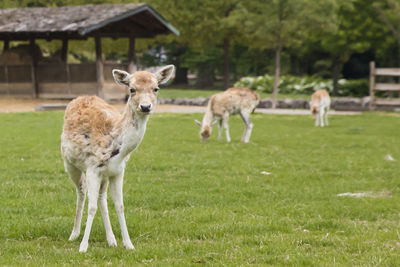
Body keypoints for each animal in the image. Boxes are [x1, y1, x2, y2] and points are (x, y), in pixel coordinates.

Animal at [61, 65, 175, 253]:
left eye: (156, 88)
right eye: (132, 89)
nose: (145, 106)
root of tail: (79, 98)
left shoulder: (118, 171)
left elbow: (120, 205)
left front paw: (128, 244)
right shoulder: (92, 168)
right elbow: (91, 207)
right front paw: (83, 246)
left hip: (105, 175)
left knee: (101, 197)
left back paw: (111, 239)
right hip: (69, 164)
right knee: (81, 191)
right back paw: (74, 234)